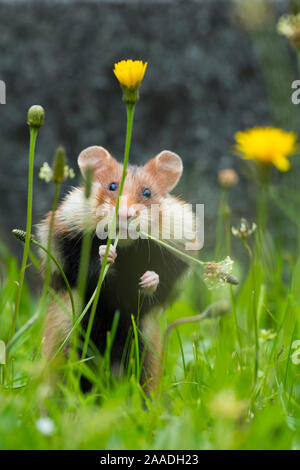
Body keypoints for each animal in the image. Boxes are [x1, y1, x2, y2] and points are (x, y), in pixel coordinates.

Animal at [39, 145, 199, 392]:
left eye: (147, 193)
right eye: (112, 186)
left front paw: (149, 279)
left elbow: (159, 284)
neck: (126, 249)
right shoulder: (63, 245)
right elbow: (85, 269)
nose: (125, 214)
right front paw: (106, 253)